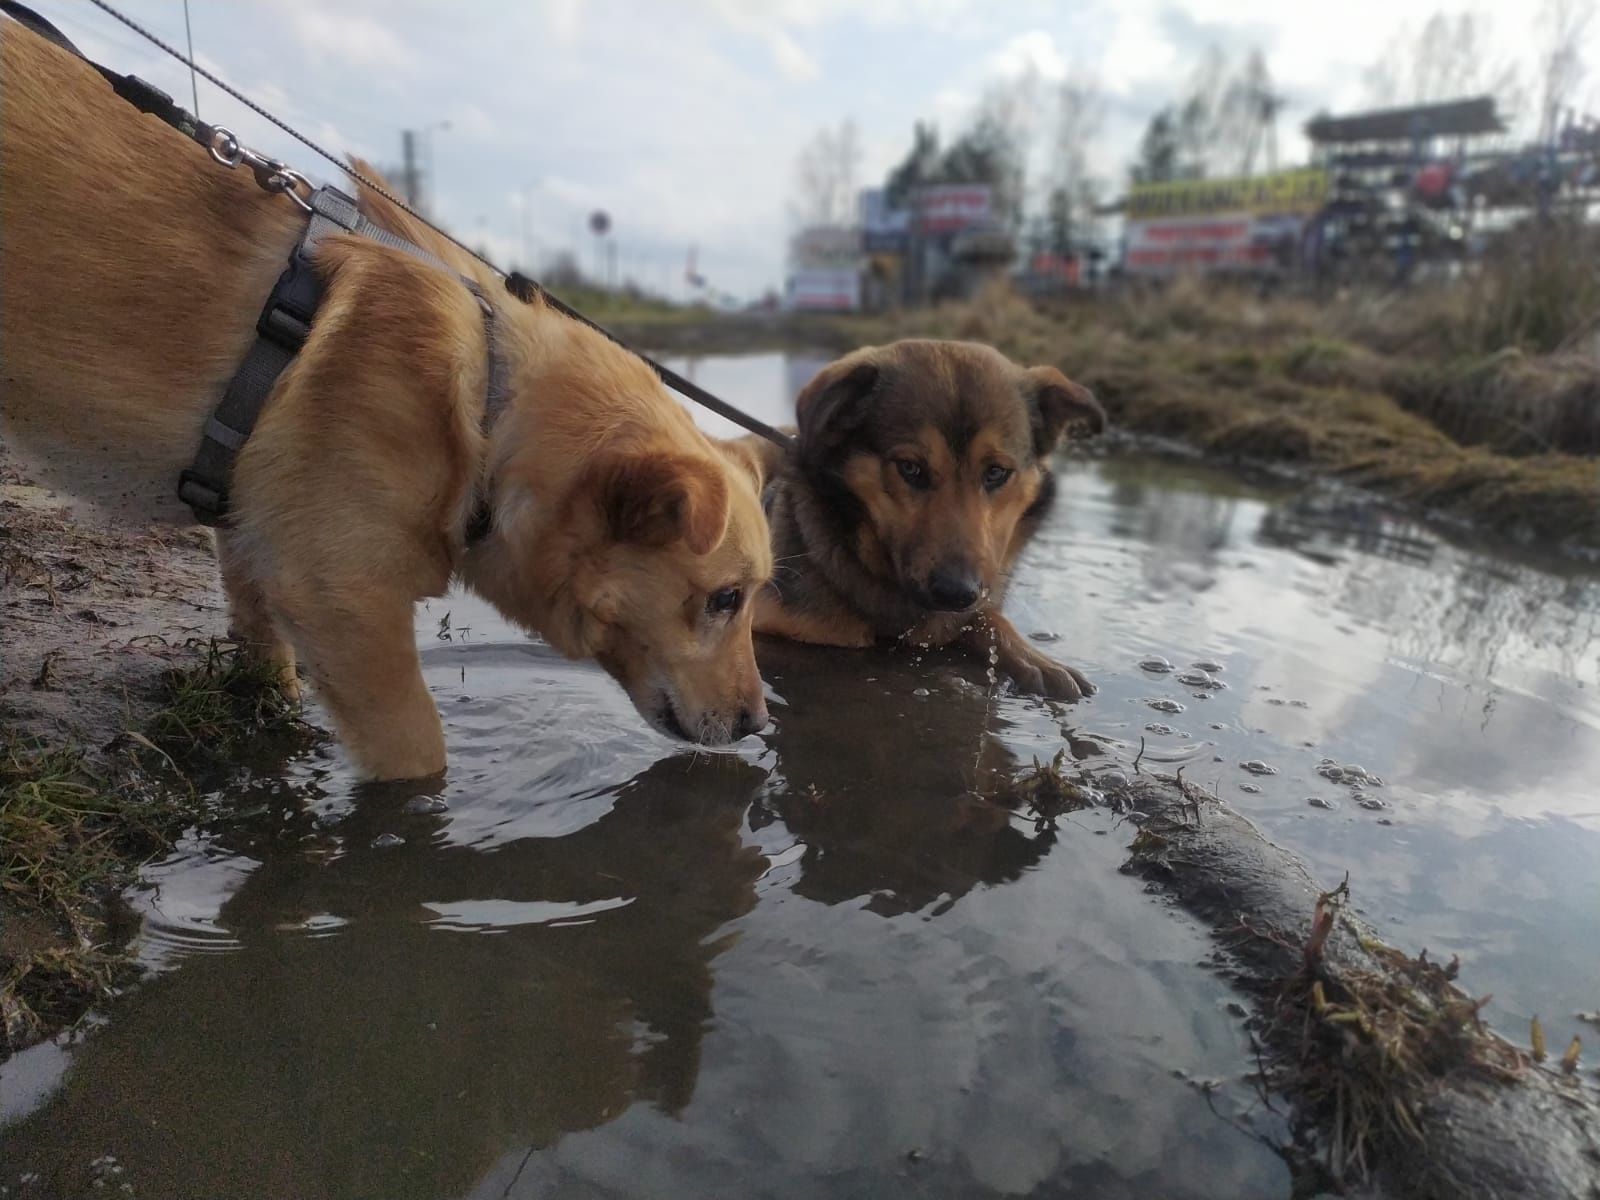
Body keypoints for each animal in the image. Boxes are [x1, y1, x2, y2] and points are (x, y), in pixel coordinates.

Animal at [0, 25, 774, 790]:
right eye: (725, 599)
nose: (758, 724)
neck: (489, 410)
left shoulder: (252, 540)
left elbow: (263, 649)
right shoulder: (345, 602)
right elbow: (417, 754)